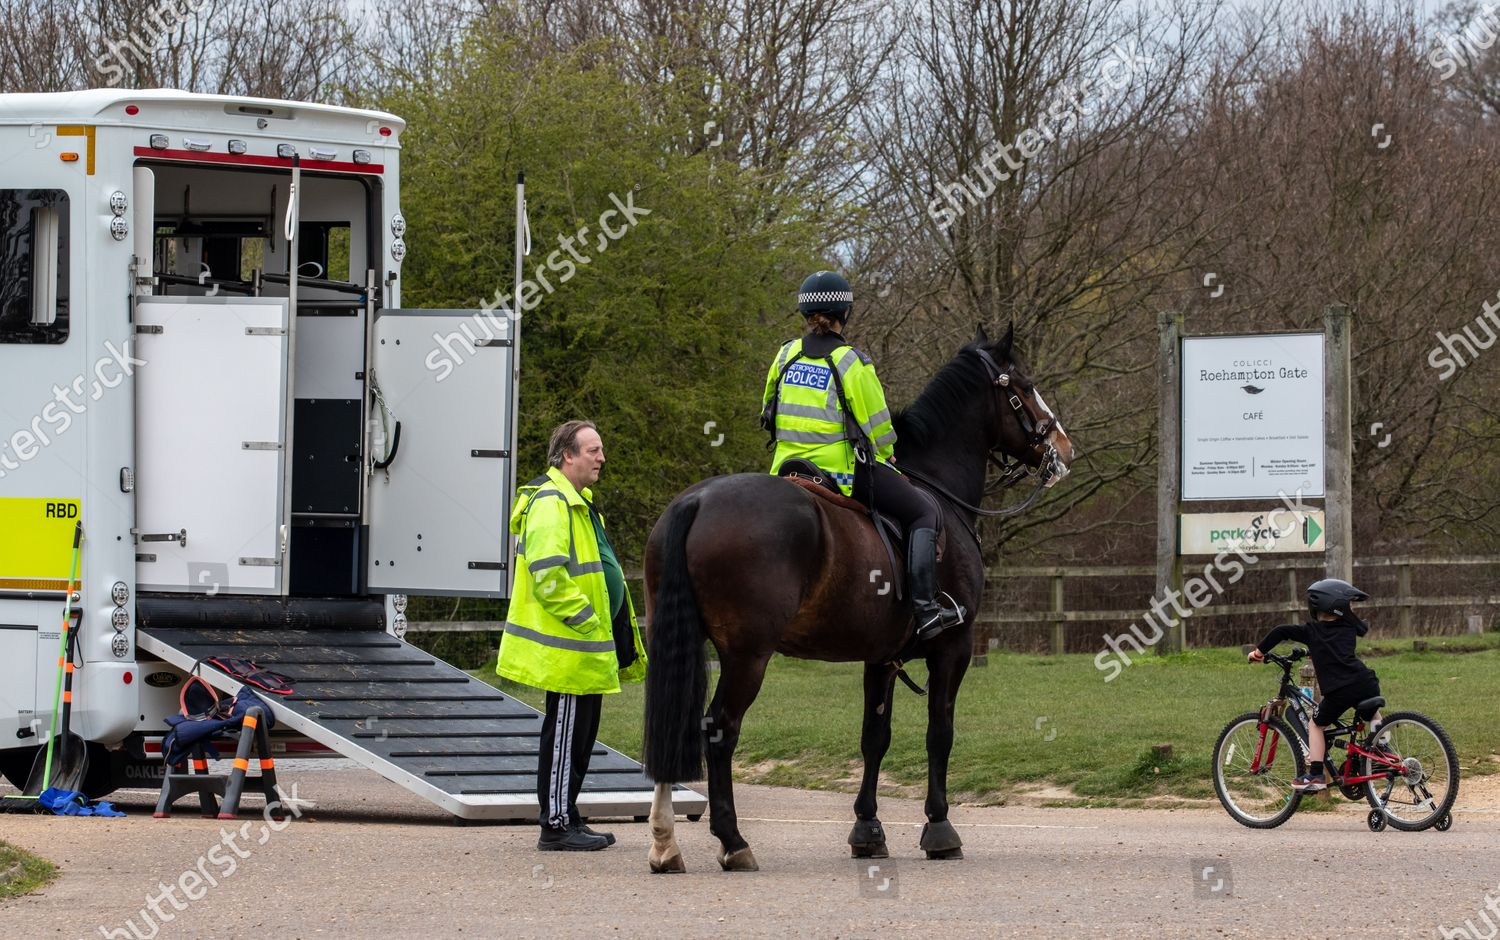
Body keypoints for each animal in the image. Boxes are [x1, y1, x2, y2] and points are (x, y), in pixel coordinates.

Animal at [639, 325, 1074, 875]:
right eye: (1024, 385)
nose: (1063, 448)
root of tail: (697, 501)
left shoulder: (881, 658)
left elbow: (875, 736)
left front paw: (867, 829)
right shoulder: (953, 648)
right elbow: (940, 733)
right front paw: (939, 828)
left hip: (680, 643)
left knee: (669, 725)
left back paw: (664, 843)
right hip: (747, 655)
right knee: (719, 729)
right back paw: (733, 841)